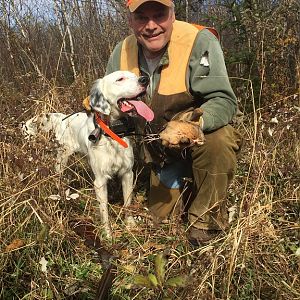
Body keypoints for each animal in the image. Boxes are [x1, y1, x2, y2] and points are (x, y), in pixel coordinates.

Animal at [22, 70, 152, 237]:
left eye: (135, 75)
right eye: (120, 79)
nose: (145, 79)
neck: (111, 135)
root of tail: (62, 118)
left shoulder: (127, 174)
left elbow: (127, 202)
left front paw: (130, 224)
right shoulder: (100, 181)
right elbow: (104, 212)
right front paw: (108, 235)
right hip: (62, 159)